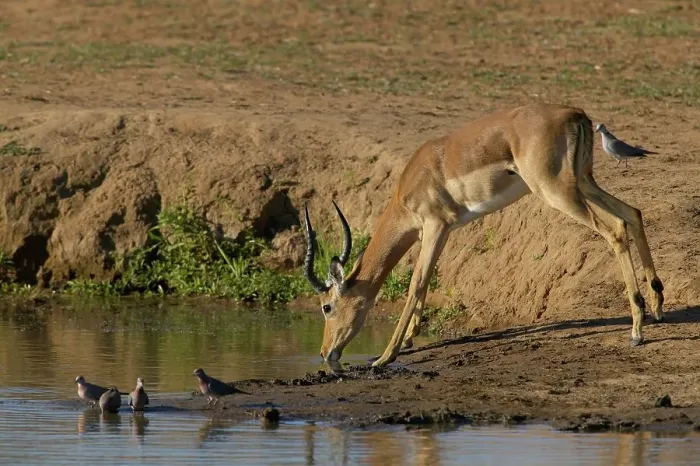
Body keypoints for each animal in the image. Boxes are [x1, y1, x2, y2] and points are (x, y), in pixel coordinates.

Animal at [303, 102, 665, 368]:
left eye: (326, 307)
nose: (324, 353)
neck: (415, 179)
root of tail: (574, 114)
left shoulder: (434, 226)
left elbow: (415, 283)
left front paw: (384, 357)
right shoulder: (442, 231)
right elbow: (428, 279)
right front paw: (409, 338)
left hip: (557, 192)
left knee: (615, 228)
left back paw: (637, 329)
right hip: (584, 182)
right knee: (632, 213)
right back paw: (658, 306)